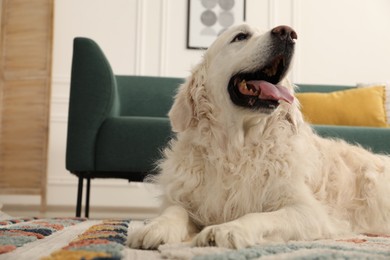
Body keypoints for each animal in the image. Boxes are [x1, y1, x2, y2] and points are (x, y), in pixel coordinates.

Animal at [128, 24, 390, 250]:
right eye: (241, 36)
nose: (287, 33)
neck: (237, 149)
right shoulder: (187, 196)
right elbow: (175, 210)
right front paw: (155, 227)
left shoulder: (308, 211)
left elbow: (260, 216)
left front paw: (226, 229)